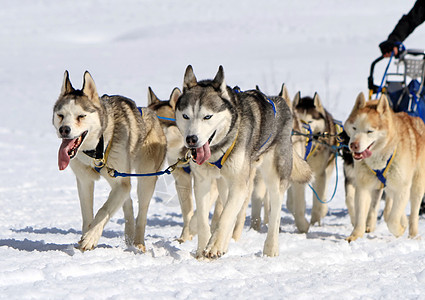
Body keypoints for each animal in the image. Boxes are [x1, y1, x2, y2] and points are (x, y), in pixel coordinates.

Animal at [51, 70, 166, 251]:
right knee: (128, 202)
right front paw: (85, 236)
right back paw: (129, 235)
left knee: (141, 212)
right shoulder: (84, 181)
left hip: (145, 179)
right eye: (60, 115)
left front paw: (90, 237)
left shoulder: (120, 182)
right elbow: (88, 215)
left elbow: (104, 210)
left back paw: (138, 244)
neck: (97, 149)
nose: (64, 129)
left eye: (81, 116)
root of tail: (153, 115)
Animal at [174, 65, 310, 258]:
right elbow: (203, 218)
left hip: (274, 177)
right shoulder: (202, 182)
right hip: (225, 183)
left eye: (207, 117)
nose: (191, 139)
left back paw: (270, 248)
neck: (218, 149)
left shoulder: (240, 184)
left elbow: (225, 216)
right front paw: (202, 250)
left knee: (274, 212)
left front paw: (213, 246)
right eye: (186, 116)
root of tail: (280, 102)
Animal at [342, 92, 424, 241]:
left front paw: (399, 230)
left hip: (416, 186)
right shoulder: (363, 186)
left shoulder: (403, 187)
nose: (353, 145)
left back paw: (413, 234)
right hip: (388, 187)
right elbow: (360, 214)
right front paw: (355, 235)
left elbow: (392, 220)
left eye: (369, 131)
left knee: (413, 213)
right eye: (354, 127)